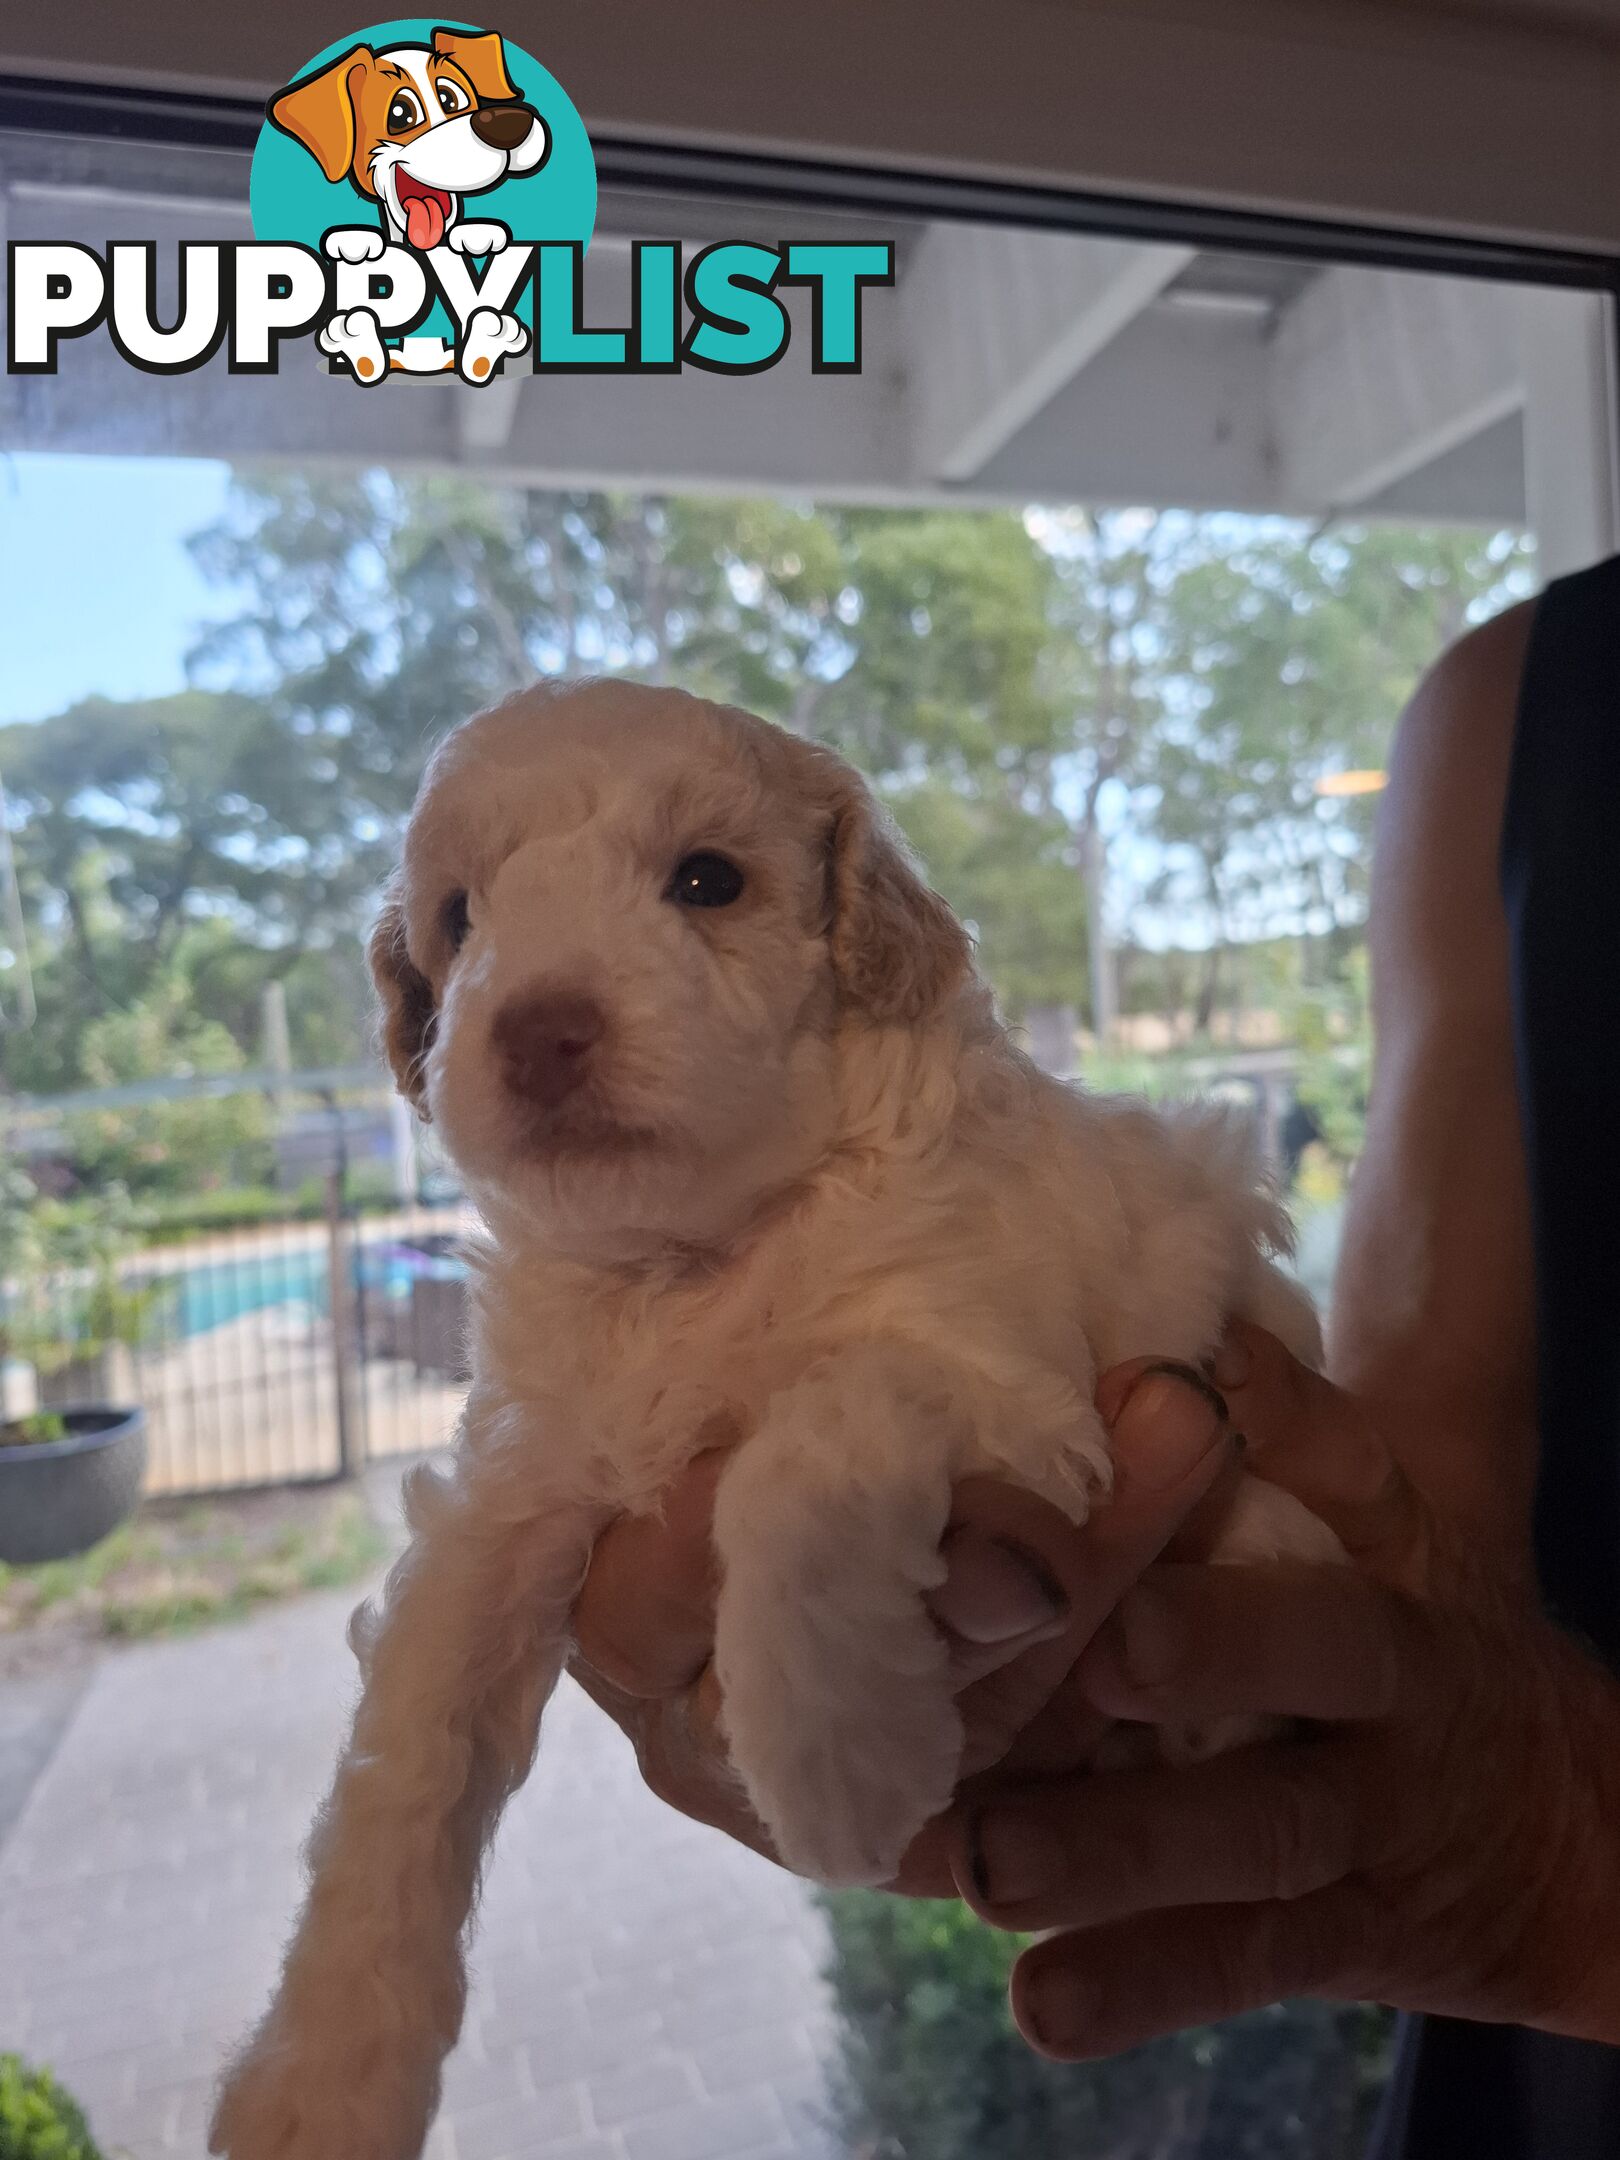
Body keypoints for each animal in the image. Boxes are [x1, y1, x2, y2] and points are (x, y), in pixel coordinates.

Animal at [209, 682, 1339, 2160]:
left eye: (708, 881)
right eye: (458, 918)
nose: (538, 1029)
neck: (701, 1251)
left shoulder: (1013, 1389)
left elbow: (806, 1443)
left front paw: (840, 1768)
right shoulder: (518, 1484)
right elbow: (405, 1757)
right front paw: (322, 2078)